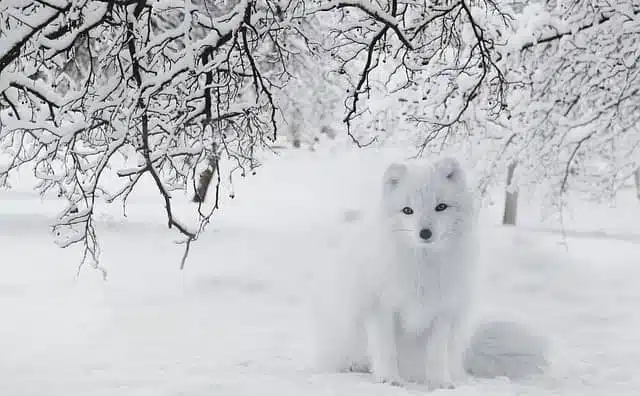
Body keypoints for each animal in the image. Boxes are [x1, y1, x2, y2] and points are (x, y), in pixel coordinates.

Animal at [320, 156, 552, 388]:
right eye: (407, 210)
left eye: (441, 207)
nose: (425, 233)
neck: (424, 266)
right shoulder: (380, 308)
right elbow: (386, 349)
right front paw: (389, 379)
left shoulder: (443, 313)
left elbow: (436, 354)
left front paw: (441, 383)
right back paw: (355, 366)